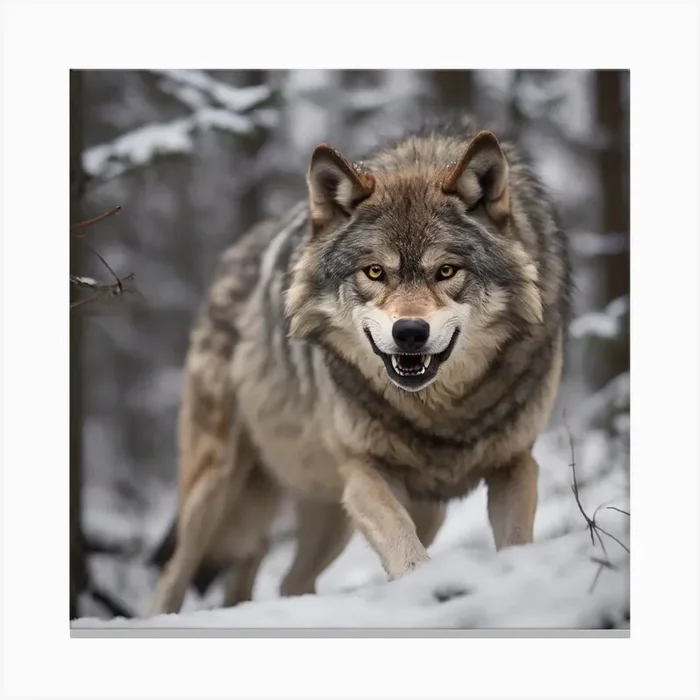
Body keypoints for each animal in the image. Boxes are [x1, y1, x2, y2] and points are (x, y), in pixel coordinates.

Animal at [149, 116, 573, 616]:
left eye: (446, 272)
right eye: (374, 272)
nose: (410, 332)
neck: (440, 412)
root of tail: (233, 256)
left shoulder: (516, 464)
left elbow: (515, 543)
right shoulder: (365, 471)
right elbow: (404, 547)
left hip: (376, 511)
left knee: (286, 580)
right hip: (215, 488)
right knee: (174, 576)